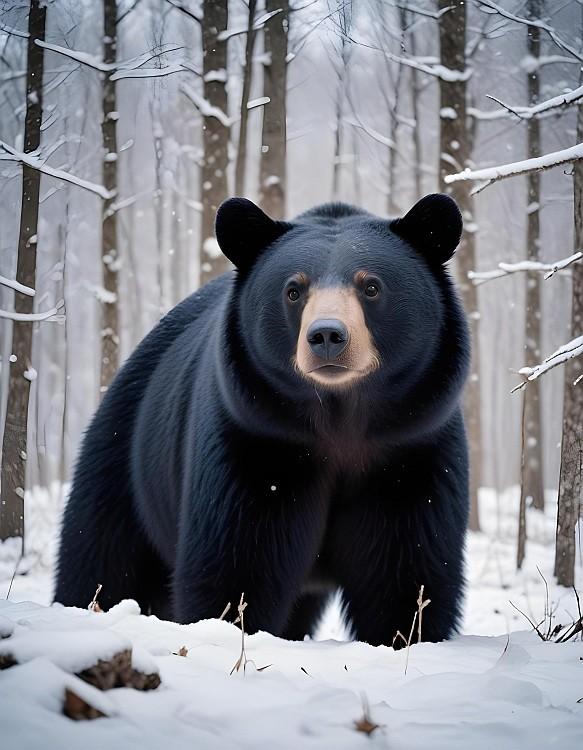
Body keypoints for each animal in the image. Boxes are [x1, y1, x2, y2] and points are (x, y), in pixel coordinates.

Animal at [55, 193, 470, 647]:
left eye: (371, 286)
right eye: (294, 289)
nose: (327, 336)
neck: (339, 421)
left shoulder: (410, 451)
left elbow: (405, 570)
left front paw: (406, 637)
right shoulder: (256, 441)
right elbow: (238, 561)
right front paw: (228, 629)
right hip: (127, 466)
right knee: (99, 559)